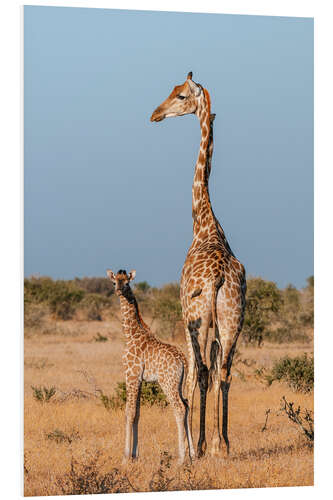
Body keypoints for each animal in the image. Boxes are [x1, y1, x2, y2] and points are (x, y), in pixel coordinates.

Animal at [106, 270, 195, 464]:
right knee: (187, 405)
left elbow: (129, 412)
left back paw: (181, 458)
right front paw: (135, 454)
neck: (130, 334)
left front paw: (125, 457)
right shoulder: (139, 379)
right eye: (114, 282)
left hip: (167, 382)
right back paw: (193, 455)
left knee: (179, 408)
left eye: (127, 283)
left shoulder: (131, 375)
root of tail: (183, 360)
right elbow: (138, 413)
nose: (118, 290)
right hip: (179, 384)